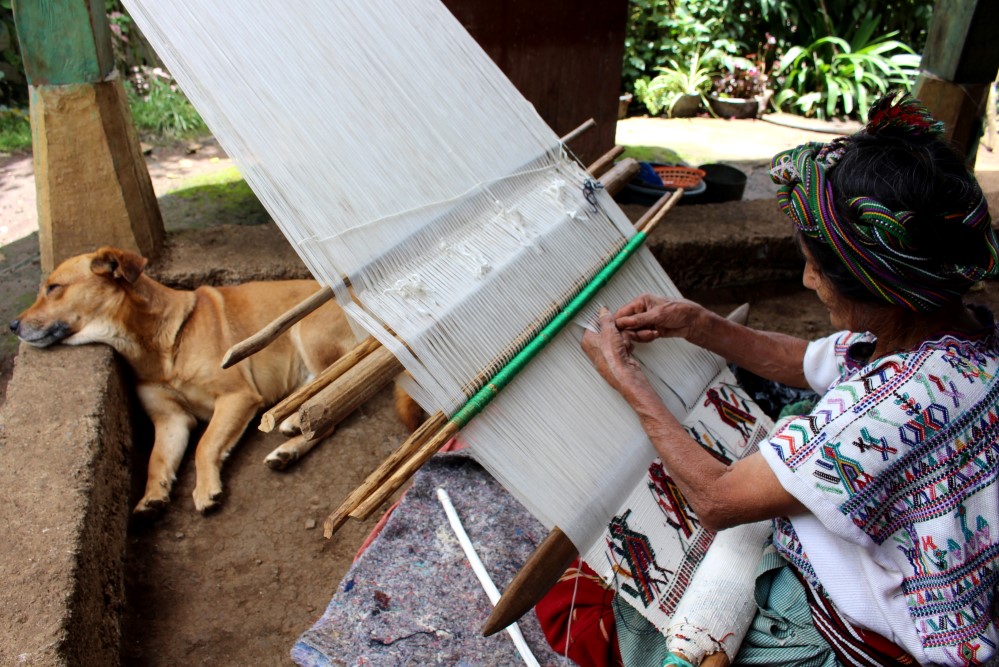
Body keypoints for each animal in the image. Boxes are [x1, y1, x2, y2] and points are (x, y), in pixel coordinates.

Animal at [11, 246, 421, 515]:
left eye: (53, 288)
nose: (12, 325)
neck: (161, 343)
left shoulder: (237, 396)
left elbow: (205, 445)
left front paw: (206, 488)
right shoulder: (171, 419)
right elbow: (158, 458)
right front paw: (152, 494)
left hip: (306, 332)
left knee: (327, 408)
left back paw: (291, 426)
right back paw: (287, 448)